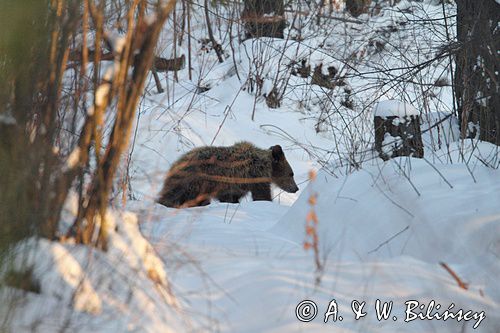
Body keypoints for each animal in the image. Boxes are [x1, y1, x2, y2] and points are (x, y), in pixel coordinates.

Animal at [157, 141, 296, 208]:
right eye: (291, 173)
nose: (296, 188)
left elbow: (231, 198)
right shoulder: (254, 178)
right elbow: (261, 195)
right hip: (195, 181)